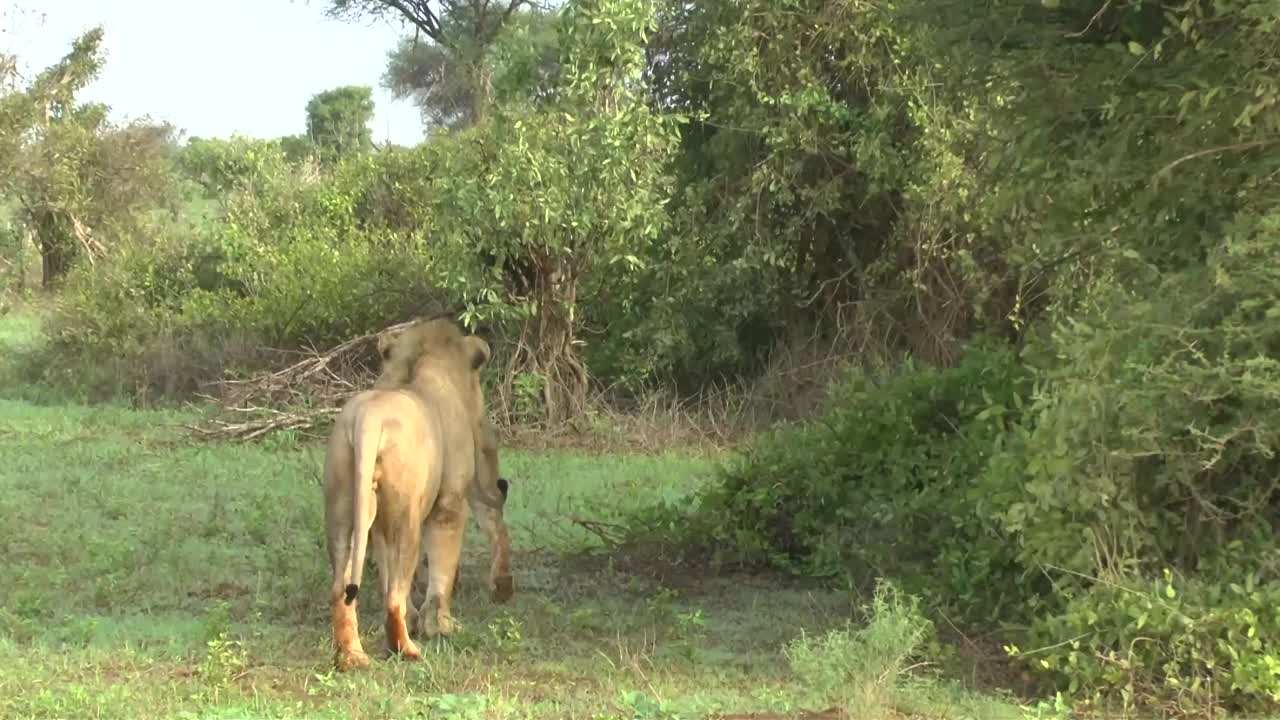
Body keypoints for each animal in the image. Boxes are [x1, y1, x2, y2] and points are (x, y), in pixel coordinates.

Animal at [325, 316, 488, 671]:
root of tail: (368, 418)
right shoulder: (449, 504)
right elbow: (442, 567)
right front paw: (440, 625)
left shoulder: (379, 524)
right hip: (406, 518)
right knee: (394, 597)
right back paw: (408, 650)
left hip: (343, 509)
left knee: (342, 588)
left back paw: (353, 656)